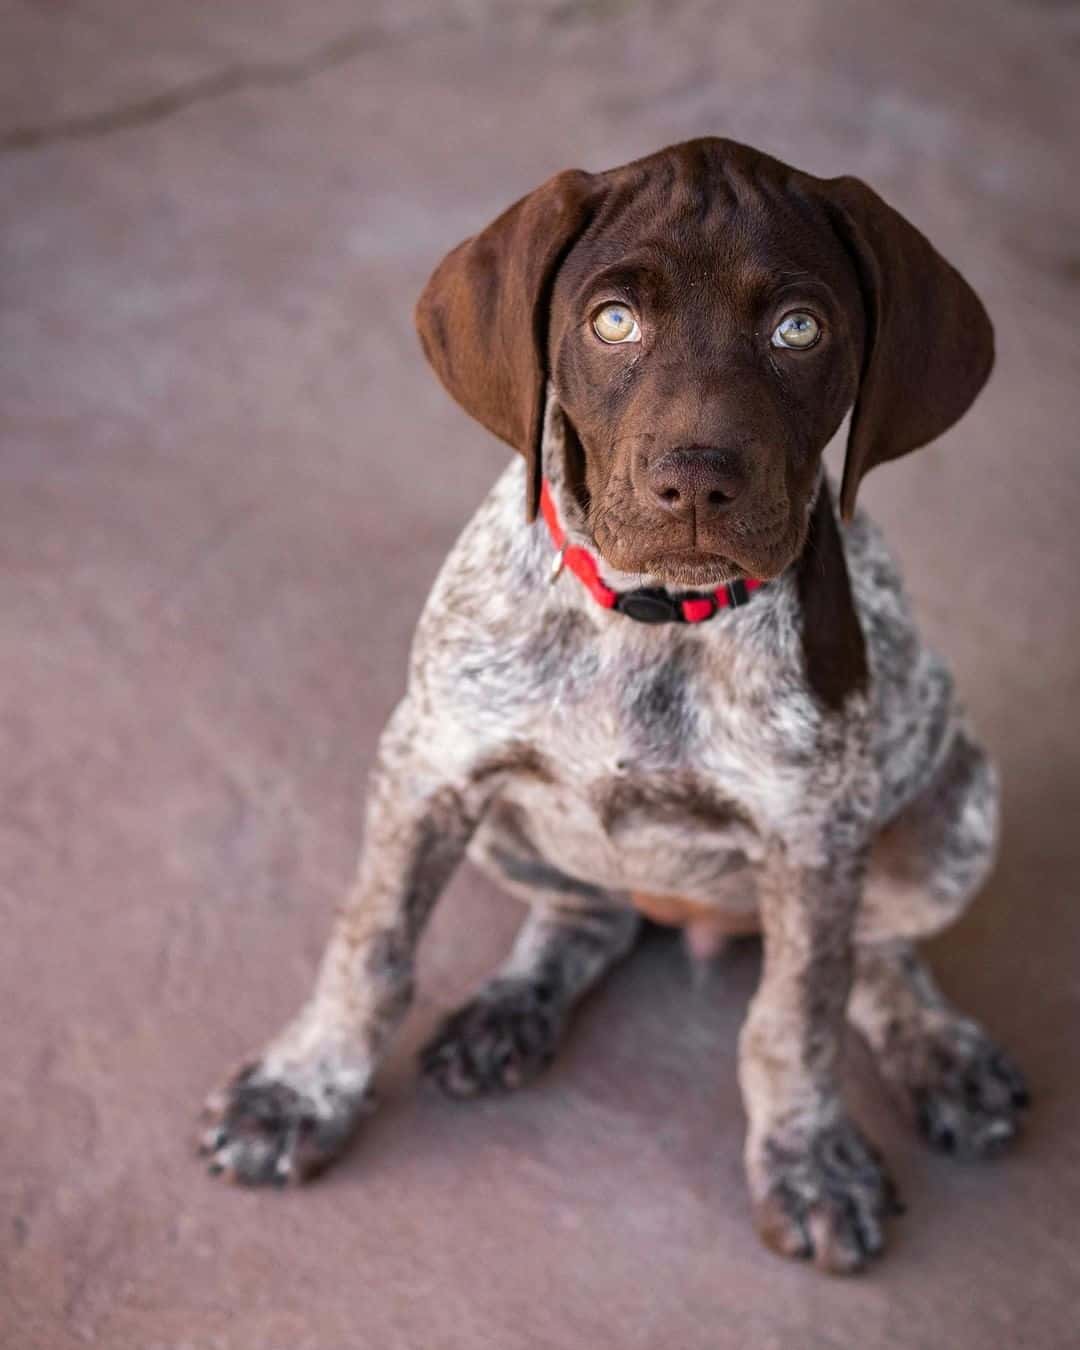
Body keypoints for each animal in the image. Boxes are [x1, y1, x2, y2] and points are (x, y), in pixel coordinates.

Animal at [202, 139, 1031, 1274]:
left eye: (799, 329)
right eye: (612, 321)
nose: (697, 484)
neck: (652, 619)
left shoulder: (816, 835)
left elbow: (795, 1019)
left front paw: (809, 1159)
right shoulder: (428, 765)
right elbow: (370, 947)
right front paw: (300, 1092)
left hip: (954, 802)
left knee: (874, 956)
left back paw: (940, 1053)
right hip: (506, 826)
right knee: (584, 911)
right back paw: (516, 1006)